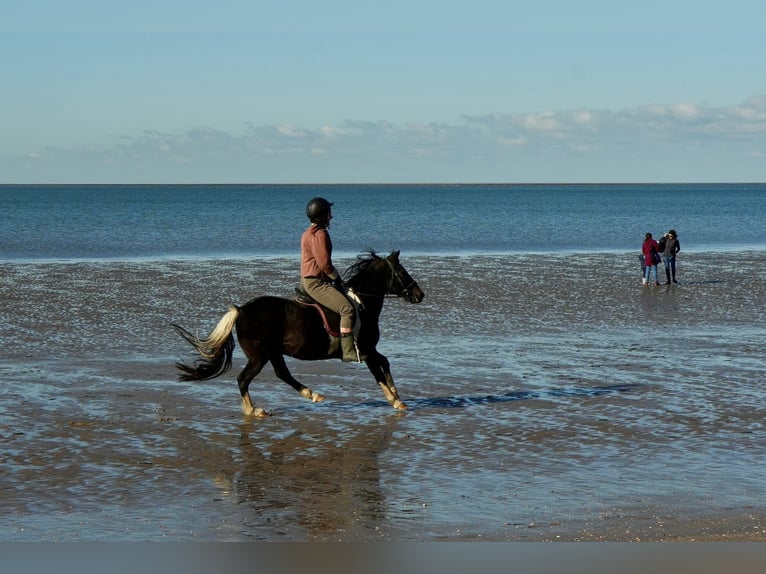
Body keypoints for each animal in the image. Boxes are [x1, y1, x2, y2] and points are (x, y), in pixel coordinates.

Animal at [172, 252, 426, 418]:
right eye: (402, 272)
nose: (419, 294)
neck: (362, 303)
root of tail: (241, 310)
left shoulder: (369, 350)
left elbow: (384, 364)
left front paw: (395, 394)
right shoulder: (365, 350)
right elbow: (379, 369)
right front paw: (395, 400)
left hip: (273, 353)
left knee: (282, 373)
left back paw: (311, 395)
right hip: (260, 356)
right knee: (244, 379)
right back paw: (255, 409)